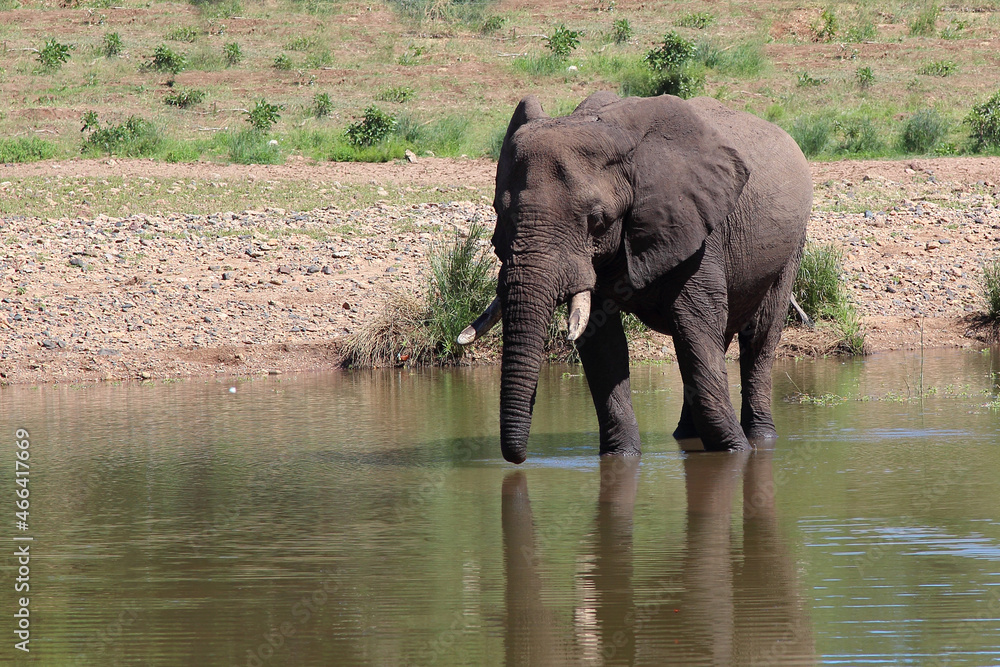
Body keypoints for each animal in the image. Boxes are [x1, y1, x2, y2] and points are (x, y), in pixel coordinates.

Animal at [459, 91, 812, 464]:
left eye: (597, 219)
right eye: (499, 210)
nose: (518, 458)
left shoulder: (696, 231)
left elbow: (696, 332)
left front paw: (735, 452)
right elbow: (603, 345)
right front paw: (621, 457)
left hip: (791, 245)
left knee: (759, 336)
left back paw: (760, 439)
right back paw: (687, 436)